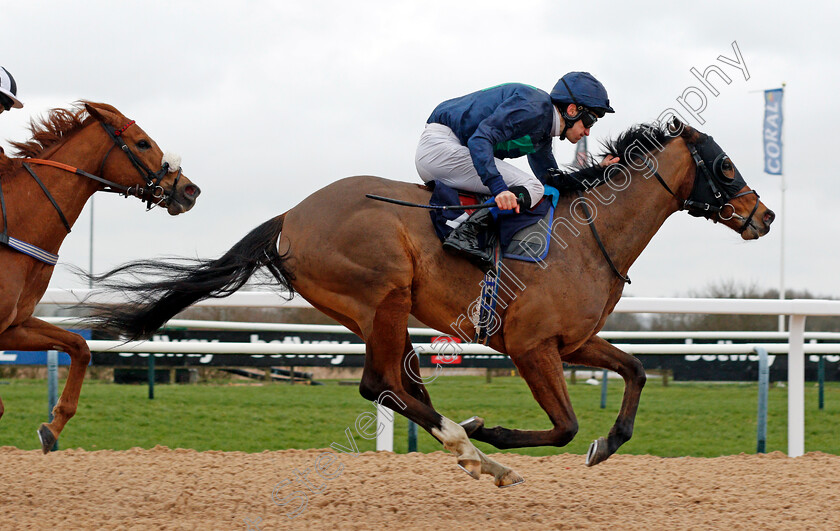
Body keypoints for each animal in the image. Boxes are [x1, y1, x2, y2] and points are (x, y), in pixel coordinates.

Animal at [0, 103, 200, 454]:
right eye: (142, 143)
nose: (190, 189)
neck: (14, 226)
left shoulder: (14, 325)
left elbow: (80, 346)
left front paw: (52, 427)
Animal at [88, 119, 772, 486]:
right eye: (726, 166)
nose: (763, 215)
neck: (587, 235)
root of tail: (291, 216)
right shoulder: (531, 347)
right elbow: (564, 425)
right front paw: (495, 433)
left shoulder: (573, 342)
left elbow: (634, 372)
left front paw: (607, 444)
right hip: (385, 297)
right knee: (381, 384)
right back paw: (470, 446)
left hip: (374, 314)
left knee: (394, 383)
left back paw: (467, 447)